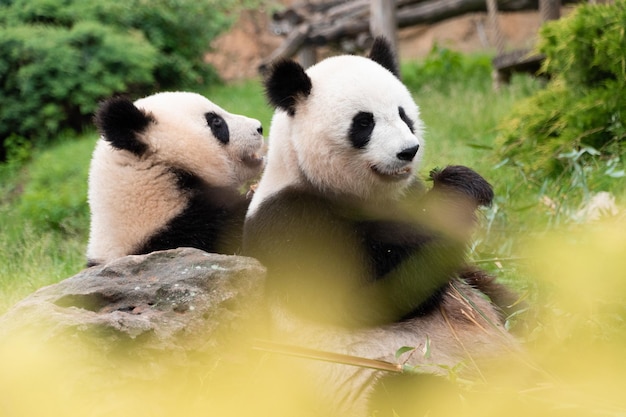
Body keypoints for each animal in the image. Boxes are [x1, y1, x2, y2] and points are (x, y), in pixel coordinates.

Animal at [244, 37, 516, 414]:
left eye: (404, 114)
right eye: (364, 123)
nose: (409, 151)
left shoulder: (405, 196)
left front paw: (467, 182)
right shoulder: (289, 223)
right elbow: (370, 298)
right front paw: (455, 195)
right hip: (390, 374)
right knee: (407, 392)